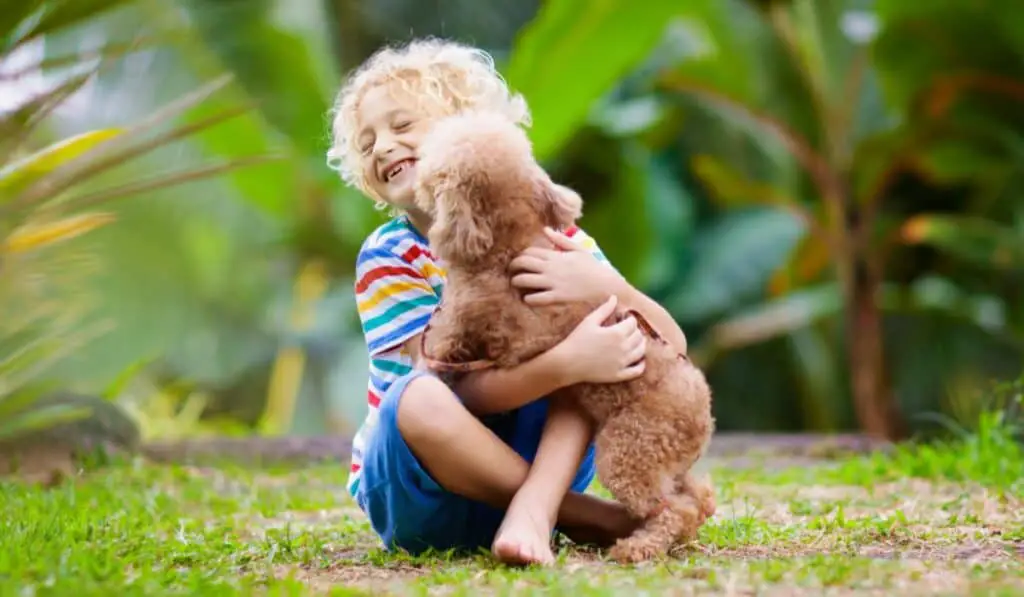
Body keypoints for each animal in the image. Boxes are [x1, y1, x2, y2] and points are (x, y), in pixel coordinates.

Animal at [411, 112, 716, 565]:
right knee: (696, 497)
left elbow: (442, 348)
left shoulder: (462, 327)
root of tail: (703, 411)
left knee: (671, 508)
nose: (414, 175)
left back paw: (636, 547)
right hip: (667, 460)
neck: (508, 243)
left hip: (629, 450)